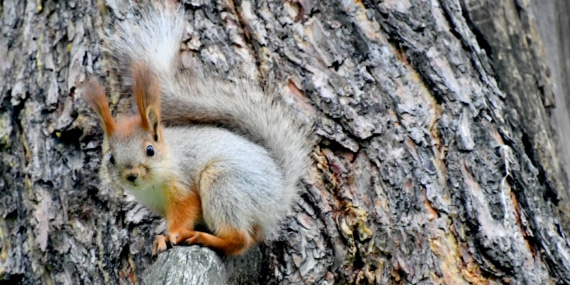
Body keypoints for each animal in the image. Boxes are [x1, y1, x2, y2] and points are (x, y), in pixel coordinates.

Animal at [82, 2, 308, 255]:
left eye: (150, 150)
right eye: (111, 157)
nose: (131, 175)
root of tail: (280, 192)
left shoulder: (183, 186)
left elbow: (184, 212)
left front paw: (170, 235)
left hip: (222, 181)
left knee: (239, 239)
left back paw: (204, 237)